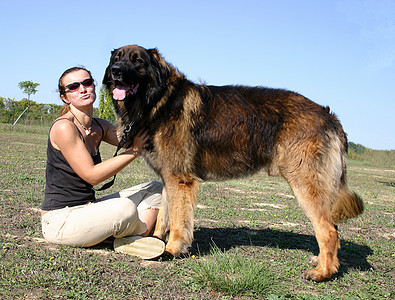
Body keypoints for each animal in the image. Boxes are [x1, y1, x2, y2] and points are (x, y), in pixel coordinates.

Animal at [103, 44, 366, 282]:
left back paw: (323, 273)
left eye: (137, 60)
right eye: (117, 58)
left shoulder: (180, 180)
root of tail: (329, 116)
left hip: (304, 184)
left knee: (329, 231)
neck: (159, 101)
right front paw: (157, 242)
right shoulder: (169, 178)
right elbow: (164, 217)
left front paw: (172, 249)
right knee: (332, 229)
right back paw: (324, 263)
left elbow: (178, 221)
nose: (116, 71)